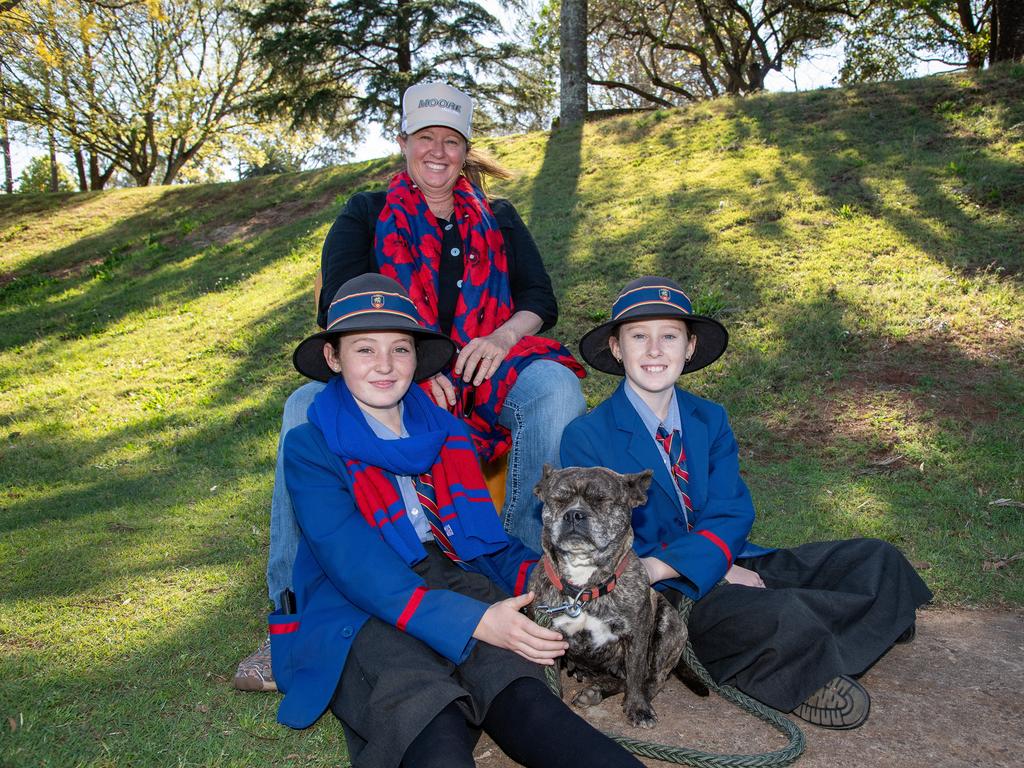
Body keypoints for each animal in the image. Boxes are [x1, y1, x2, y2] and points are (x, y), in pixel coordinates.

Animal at [528, 466, 696, 729]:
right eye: (559, 500)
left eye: (601, 500)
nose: (573, 514)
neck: (583, 588)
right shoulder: (546, 638)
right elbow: (551, 675)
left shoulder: (636, 635)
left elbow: (636, 675)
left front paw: (637, 708)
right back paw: (594, 690)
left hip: (669, 624)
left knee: (650, 679)